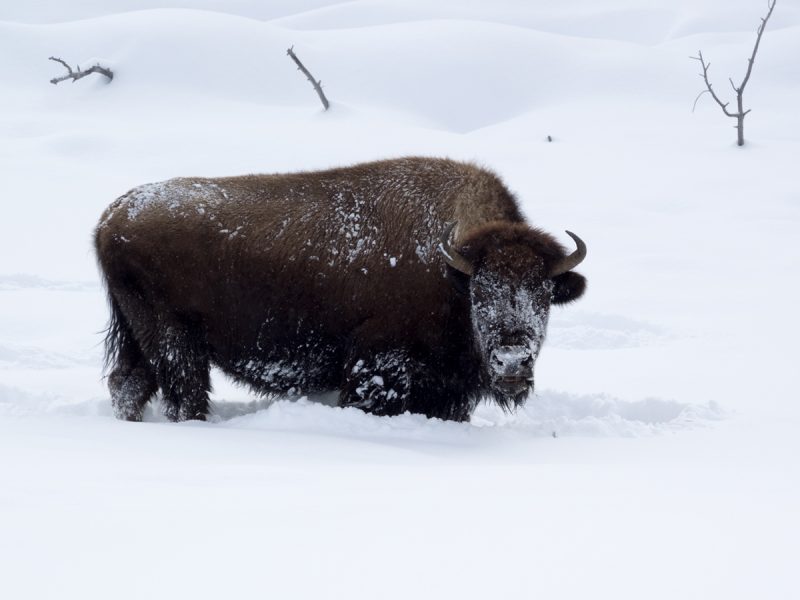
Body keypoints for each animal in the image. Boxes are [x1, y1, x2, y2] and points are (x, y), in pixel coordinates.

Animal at [95, 157, 586, 422]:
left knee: (128, 383)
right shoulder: (379, 365)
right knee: (184, 394)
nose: (512, 361)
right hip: (174, 339)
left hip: (142, 335)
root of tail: (111, 216)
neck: (451, 269)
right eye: (481, 292)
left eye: (544, 292)